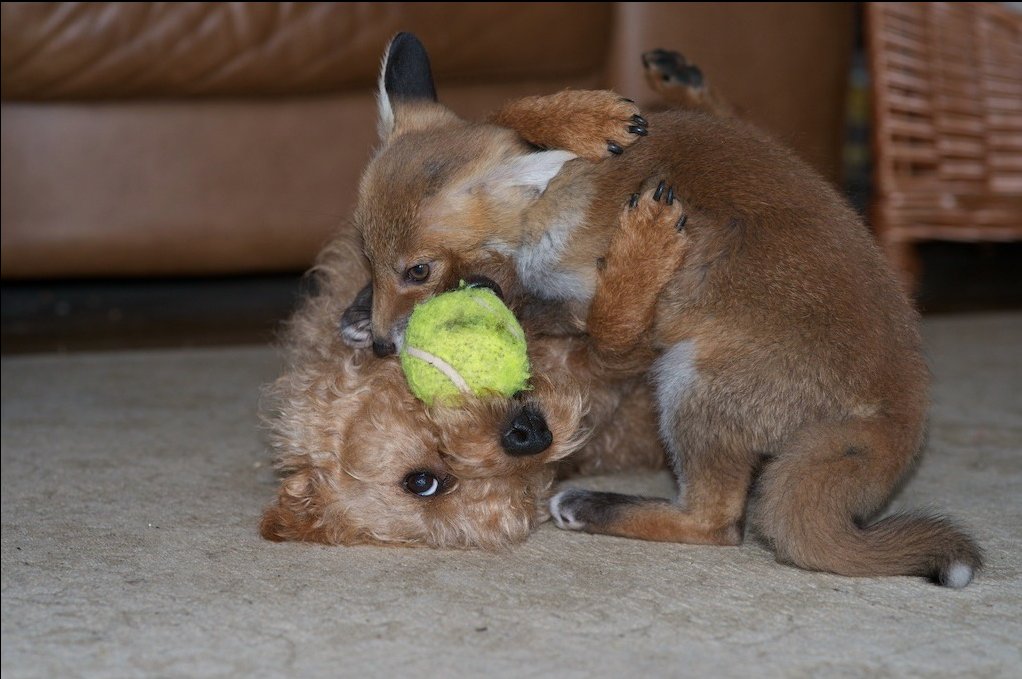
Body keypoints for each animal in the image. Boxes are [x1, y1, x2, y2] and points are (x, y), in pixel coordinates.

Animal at [343, 34, 982, 587]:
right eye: (367, 256)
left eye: (418, 270)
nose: (381, 345)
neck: (557, 208)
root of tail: (901, 410)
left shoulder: (622, 335)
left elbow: (603, 313)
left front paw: (633, 219)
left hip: (689, 381)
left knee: (718, 524)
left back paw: (594, 505)